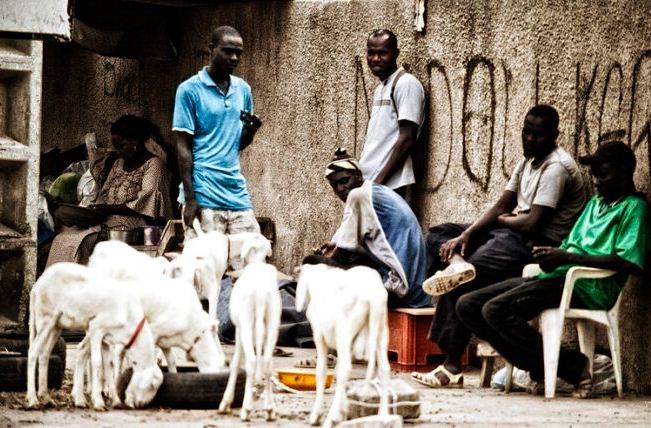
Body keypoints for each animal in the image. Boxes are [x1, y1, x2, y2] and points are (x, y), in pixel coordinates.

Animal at [28, 262, 163, 410]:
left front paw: (115, 400)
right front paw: (98, 401)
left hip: (56, 326)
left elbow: (108, 364)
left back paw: (46, 398)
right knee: (33, 352)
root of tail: (37, 285)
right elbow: (97, 363)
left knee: (44, 354)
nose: (143, 405)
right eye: (152, 386)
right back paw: (32, 400)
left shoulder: (105, 338)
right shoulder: (97, 328)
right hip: (45, 319)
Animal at [218, 260, 282, 422]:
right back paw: (269, 410)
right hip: (272, 324)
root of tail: (260, 295)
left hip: (246, 323)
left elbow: (235, 363)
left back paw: (246, 410)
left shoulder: (238, 330)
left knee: (252, 361)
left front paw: (226, 403)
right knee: (267, 362)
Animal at [296, 262, 392, 426]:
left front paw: (317, 415)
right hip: (381, 330)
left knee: (345, 369)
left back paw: (331, 418)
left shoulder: (319, 336)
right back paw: (383, 416)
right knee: (384, 369)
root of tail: (374, 295)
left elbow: (321, 371)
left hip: (344, 332)